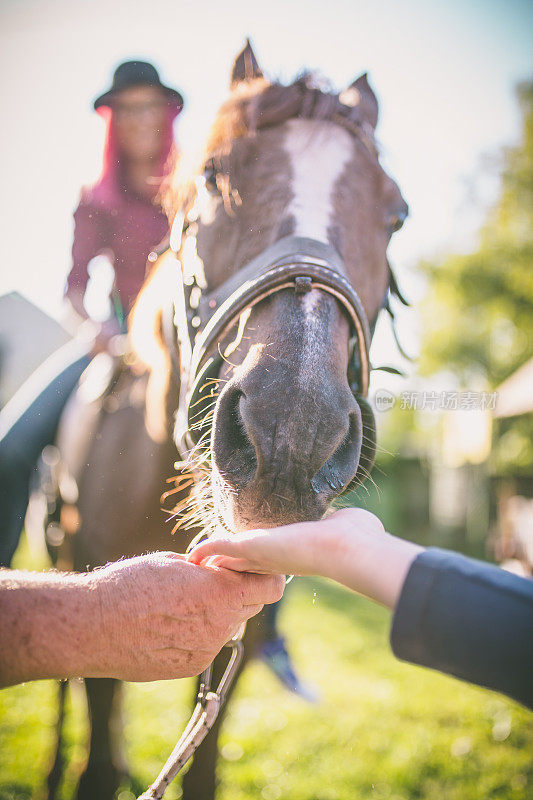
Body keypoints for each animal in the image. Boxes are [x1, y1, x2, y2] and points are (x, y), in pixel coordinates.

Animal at [44, 42, 408, 800]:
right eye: (213, 176)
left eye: (396, 216)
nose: (293, 432)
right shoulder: (100, 612)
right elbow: (94, 727)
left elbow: (202, 763)